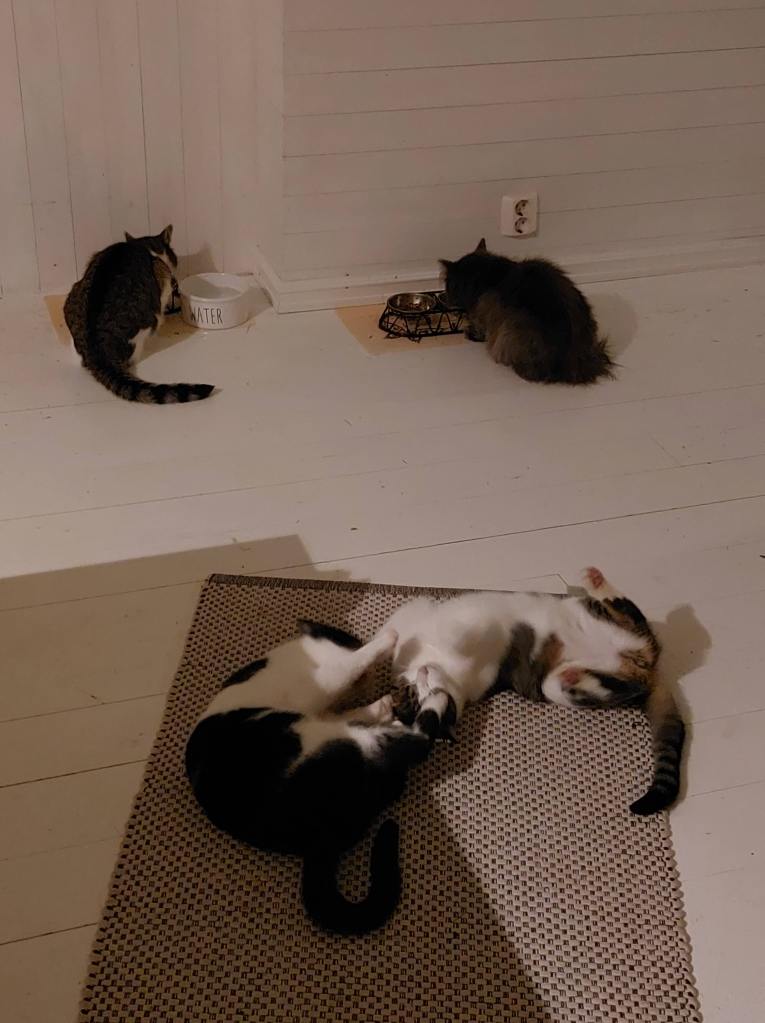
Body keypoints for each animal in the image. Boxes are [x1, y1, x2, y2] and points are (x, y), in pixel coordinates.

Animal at [185, 619, 447, 936]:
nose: (371, 681)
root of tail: (320, 838)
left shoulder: (326, 712)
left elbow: (353, 710)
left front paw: (383, 704)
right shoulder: (322, 683)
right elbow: (352, 665)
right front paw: (387, 641)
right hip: (349, 745)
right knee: (418, 743)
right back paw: (433, 696)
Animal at [385, 567, 684, 816]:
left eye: (420, 690)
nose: (425, 673)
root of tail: (646, 668)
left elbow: (434, 629)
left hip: (593, 616)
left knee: (628, 612)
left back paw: (594, 581)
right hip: (557, 686)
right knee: (617, 672)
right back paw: (575, 675)